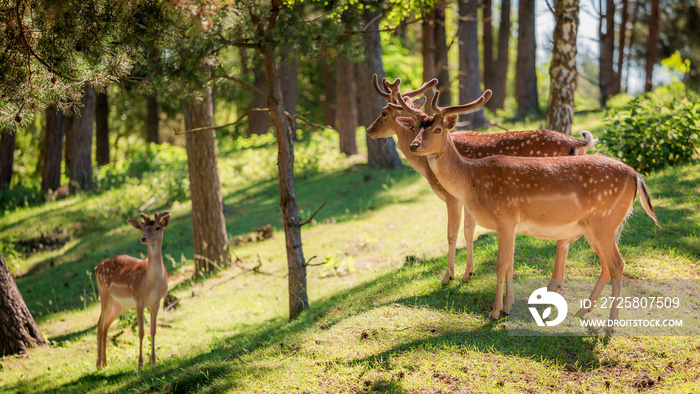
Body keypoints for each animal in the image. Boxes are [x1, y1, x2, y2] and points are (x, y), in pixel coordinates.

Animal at [95, 212, 172, 370]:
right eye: (142, 228)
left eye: (157, 227)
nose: (143, 238)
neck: (151, 282)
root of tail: (98, 267)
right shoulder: (138, 299)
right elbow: (141, 332)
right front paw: (140, 363)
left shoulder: (157, 301)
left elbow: (153, 330)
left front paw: (153, 361)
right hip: (104, 294)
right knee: (99, 324)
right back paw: (98, 363)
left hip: (118, 304)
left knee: (105, 325)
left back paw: (105, 362)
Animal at [366, 74, 596, 290]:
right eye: (416, 127)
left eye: (383, 112)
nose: (369, 130)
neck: (426, 168)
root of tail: (579, 143)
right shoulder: (468, 198)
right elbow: (469, 231)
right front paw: (468, 273)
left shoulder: (452, 196)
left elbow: (452, 233)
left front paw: (448, 277)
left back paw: (554, 284)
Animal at [396, 88, 660, 320]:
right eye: (417, 127)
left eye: (437, 129)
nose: (413, 146)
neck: (471, 180)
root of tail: (636, 176)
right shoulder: (512, 226)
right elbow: (510, 264)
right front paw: (507, 308)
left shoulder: (505, 219)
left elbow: (500, 265)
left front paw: (494, 312)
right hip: (598, 226)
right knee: (607, 264)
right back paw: (582, 311)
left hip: (603, 222)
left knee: (617, 263)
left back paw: (610, 323)